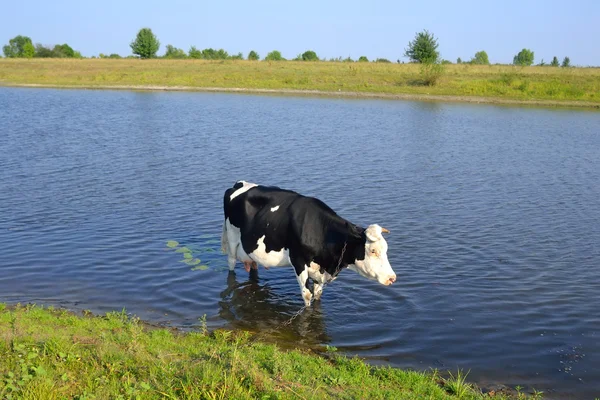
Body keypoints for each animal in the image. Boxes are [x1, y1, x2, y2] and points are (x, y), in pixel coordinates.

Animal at [219, 181, 394, 306]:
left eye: (386, 250)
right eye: (373, 251)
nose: (392, 278)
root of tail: (238, 185)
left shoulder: (319, 269)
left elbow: (317, 295)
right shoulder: (298, 261)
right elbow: (307, 295)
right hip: (232, 239)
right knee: (231, 264)